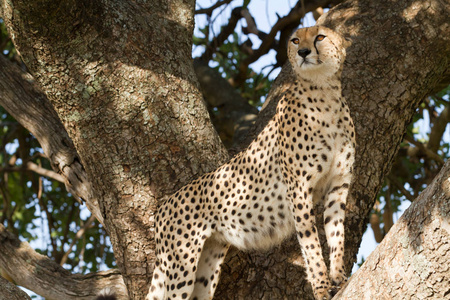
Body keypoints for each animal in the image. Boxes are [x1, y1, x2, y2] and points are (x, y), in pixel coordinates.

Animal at [149, 26, 356, 300]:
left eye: (320, 37)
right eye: (295, 40)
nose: (303, 52)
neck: (325, 94)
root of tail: (164, 205)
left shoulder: (338, 185)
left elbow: (336, 234)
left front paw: (339, 278)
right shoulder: (299, 188)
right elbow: (310, 243)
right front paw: (321, 287)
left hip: (209, 259)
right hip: (180, 261)